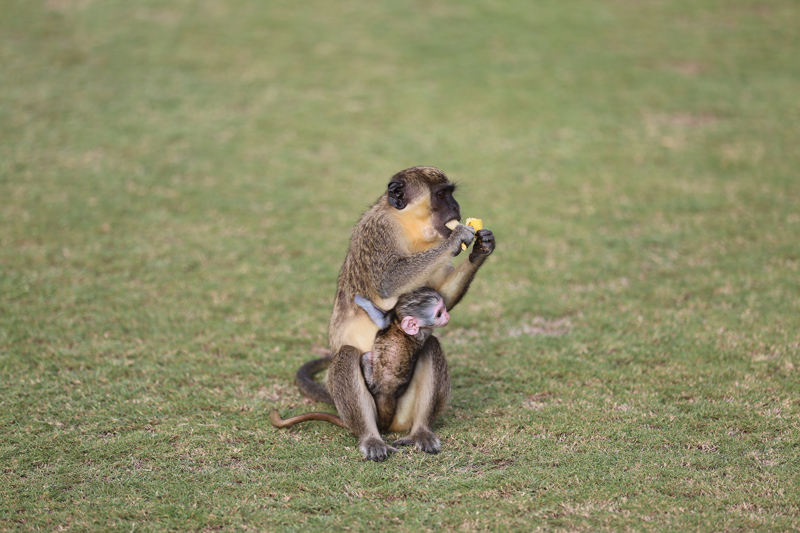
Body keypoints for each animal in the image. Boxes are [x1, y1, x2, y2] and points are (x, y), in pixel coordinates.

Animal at [295, 166, 495, 461]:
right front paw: (458, 237)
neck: (405, 222)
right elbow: (387, 282)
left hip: (404, 413)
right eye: (442, 195)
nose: (457, 207)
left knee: (431, 346)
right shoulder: (379, 231)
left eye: (450, 194)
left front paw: (482, 248)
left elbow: (440, 298)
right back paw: (370, 437)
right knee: (347, 356)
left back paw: (421, 431)